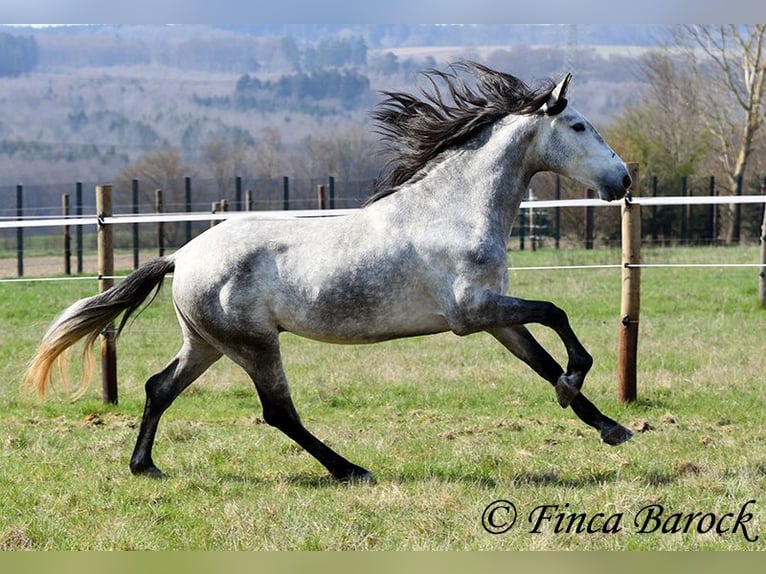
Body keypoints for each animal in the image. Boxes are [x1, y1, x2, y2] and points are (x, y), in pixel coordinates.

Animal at [24, 62, 634, 483]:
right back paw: (351, 469)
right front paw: (576, 384)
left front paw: (609, 426)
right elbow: (557, 314)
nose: (623, 180)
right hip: (253, 345)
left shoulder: (496, 317)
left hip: (208, 343)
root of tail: (184, 255)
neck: (452, 208)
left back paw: (145, 466)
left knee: (159, 387)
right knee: (278, 412)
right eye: (578, 125)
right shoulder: (473, 311)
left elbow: (541, 359)